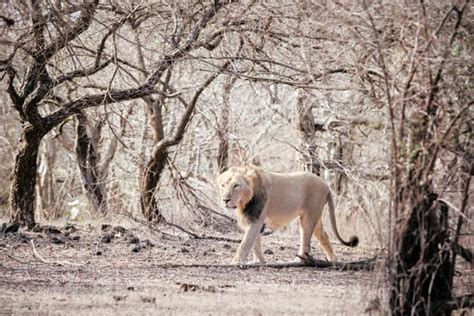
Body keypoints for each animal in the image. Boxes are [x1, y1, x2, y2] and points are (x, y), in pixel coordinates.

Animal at [217, 165, 358, 264]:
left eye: (236, 186)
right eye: (223, 185)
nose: (225, 200)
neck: (243, 202)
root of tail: (326, 185)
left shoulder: (256, 218)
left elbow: (246, 242)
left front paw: (236, 262)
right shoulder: (251, 217)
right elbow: (255, 242)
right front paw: (258, 261)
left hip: (308, 215)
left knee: (305, 239)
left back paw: (299, 260)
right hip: (316, 218)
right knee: (324, 237)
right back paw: (333, 260)